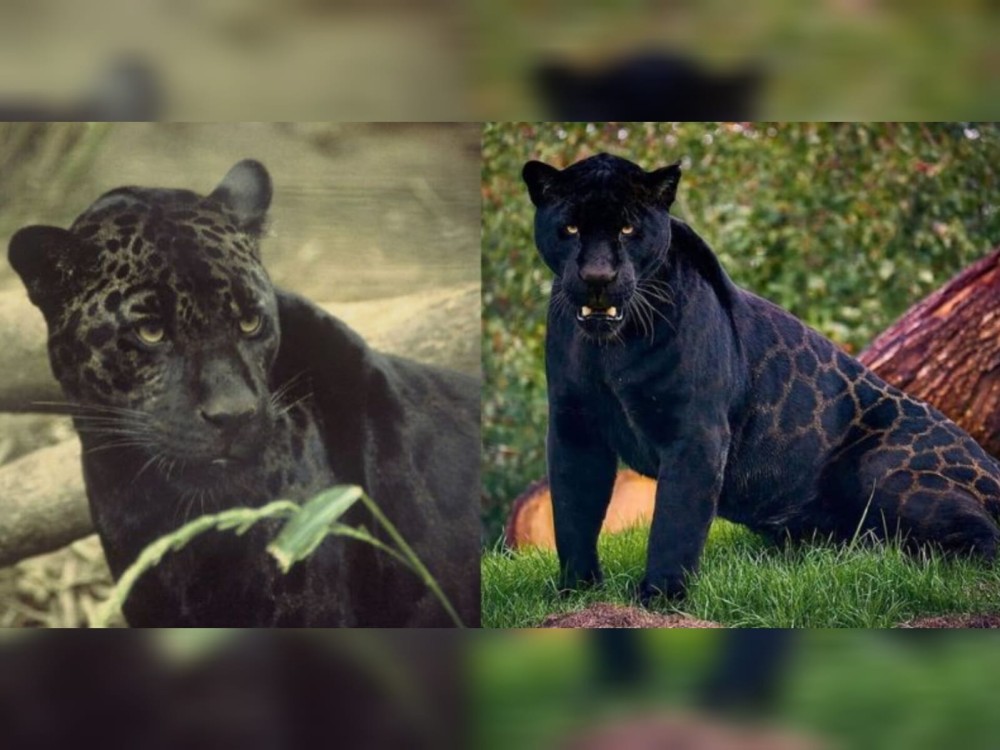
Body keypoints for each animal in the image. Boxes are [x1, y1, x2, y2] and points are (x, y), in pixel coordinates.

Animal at [522, 152, 1000, 604]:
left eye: (626, 229)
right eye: (570, 229)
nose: (597, 277)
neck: (611, 350)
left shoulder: (695, 434)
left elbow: (674, 522)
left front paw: (660, 596)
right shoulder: (574, 427)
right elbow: (573, 515)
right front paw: (577, 589)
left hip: (878, 470)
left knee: (982, 541)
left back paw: (887, 560)